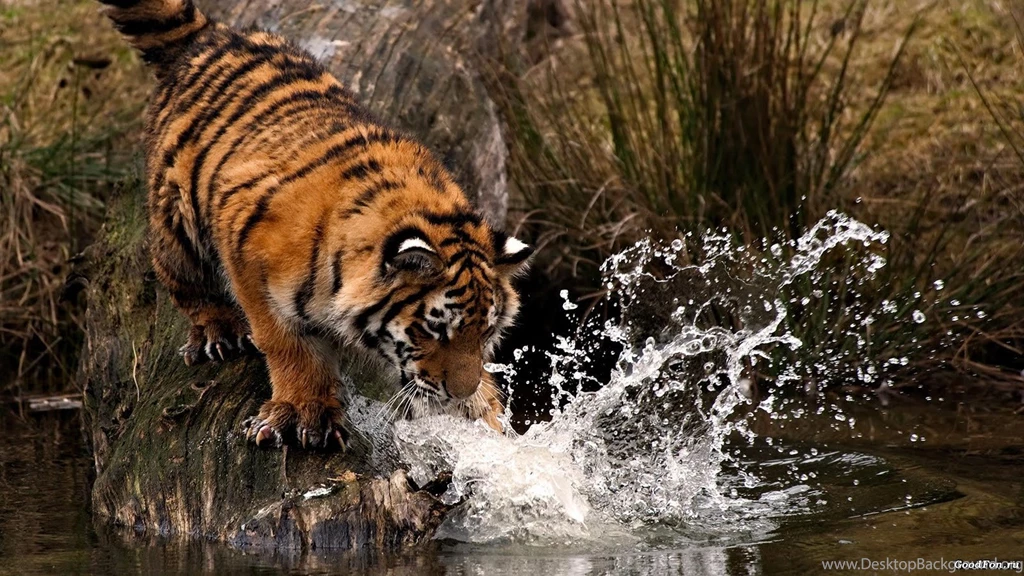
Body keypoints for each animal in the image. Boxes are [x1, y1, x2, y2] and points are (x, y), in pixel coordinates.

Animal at [97, 0, 532, 450]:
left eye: (485, 332)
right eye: (435, 330)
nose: (459, 392)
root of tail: (212, 33)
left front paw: (489, 417)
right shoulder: (248, 253)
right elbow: (288, 344)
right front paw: (304, 411)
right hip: (177, 217)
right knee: (181, 277)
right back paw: (219, 330)